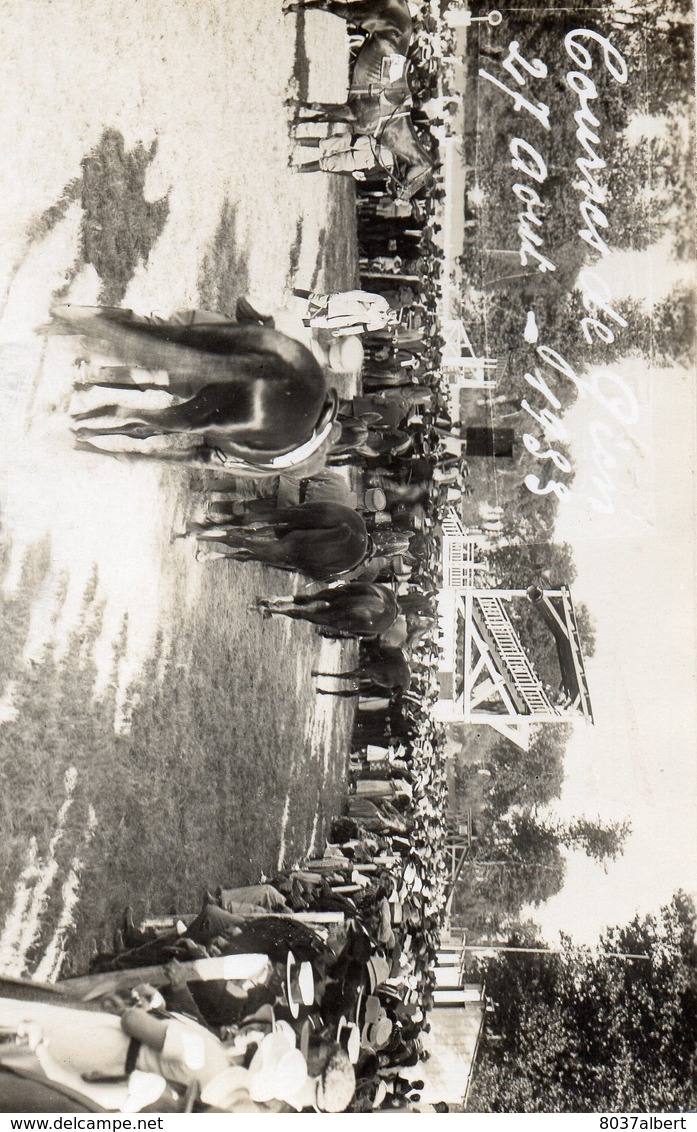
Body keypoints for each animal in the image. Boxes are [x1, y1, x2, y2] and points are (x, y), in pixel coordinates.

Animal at [183, 500, 371, 579]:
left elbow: (243, 548)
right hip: (285, 534)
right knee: (242, 534)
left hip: (283, 541)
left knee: (241, 537)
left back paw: (198, 536)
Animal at [255, 584, 398, 638]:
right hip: (328, 615)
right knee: (298, 612)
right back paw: (265, 608)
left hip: (331, 595)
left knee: (303, 600)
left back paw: (267, 603)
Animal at [286, 0, 432, 199]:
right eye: (420, 183)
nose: (398, 196)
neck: (389, 121)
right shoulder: (350, 110)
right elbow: (316, 106)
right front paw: (290, 104)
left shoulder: (348, 116)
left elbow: (319, 118)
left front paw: (294, 125)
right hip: (353, 14)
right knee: (325, 6)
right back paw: (289, 10)